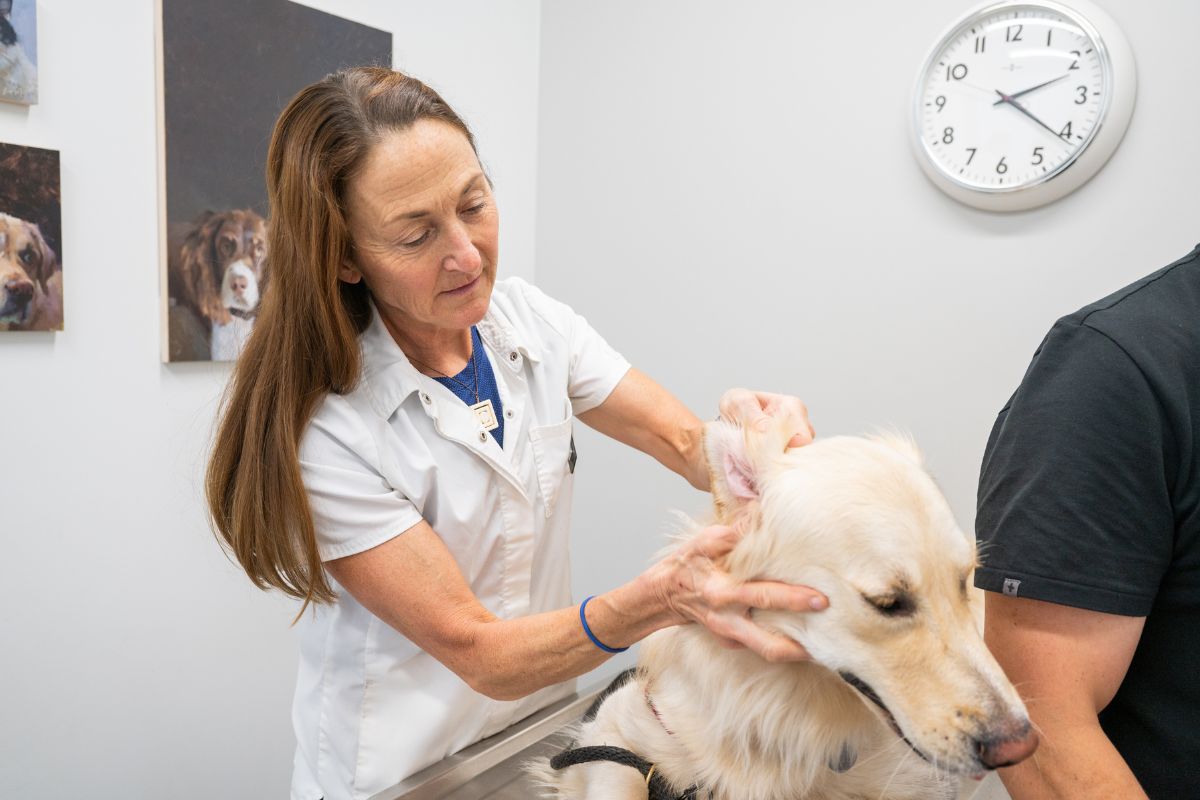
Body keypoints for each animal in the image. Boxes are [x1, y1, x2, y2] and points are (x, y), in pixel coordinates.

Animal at [535, 419, 1032, 800]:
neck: (784, 710)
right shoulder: (615, 728)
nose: (1020, 748)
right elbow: (616, 772)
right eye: (888, 602)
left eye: (965, 580)